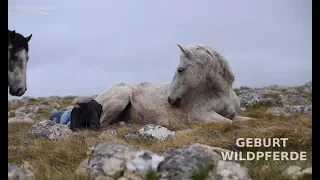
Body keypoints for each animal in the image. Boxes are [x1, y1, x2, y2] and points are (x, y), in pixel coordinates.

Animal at [95, 44, 252, 127]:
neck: (221, 94)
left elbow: (248, 120)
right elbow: (231, 123)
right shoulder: (201, 116)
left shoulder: (234, 115)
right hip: (120, 97)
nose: (170, 99)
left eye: (180, 69)